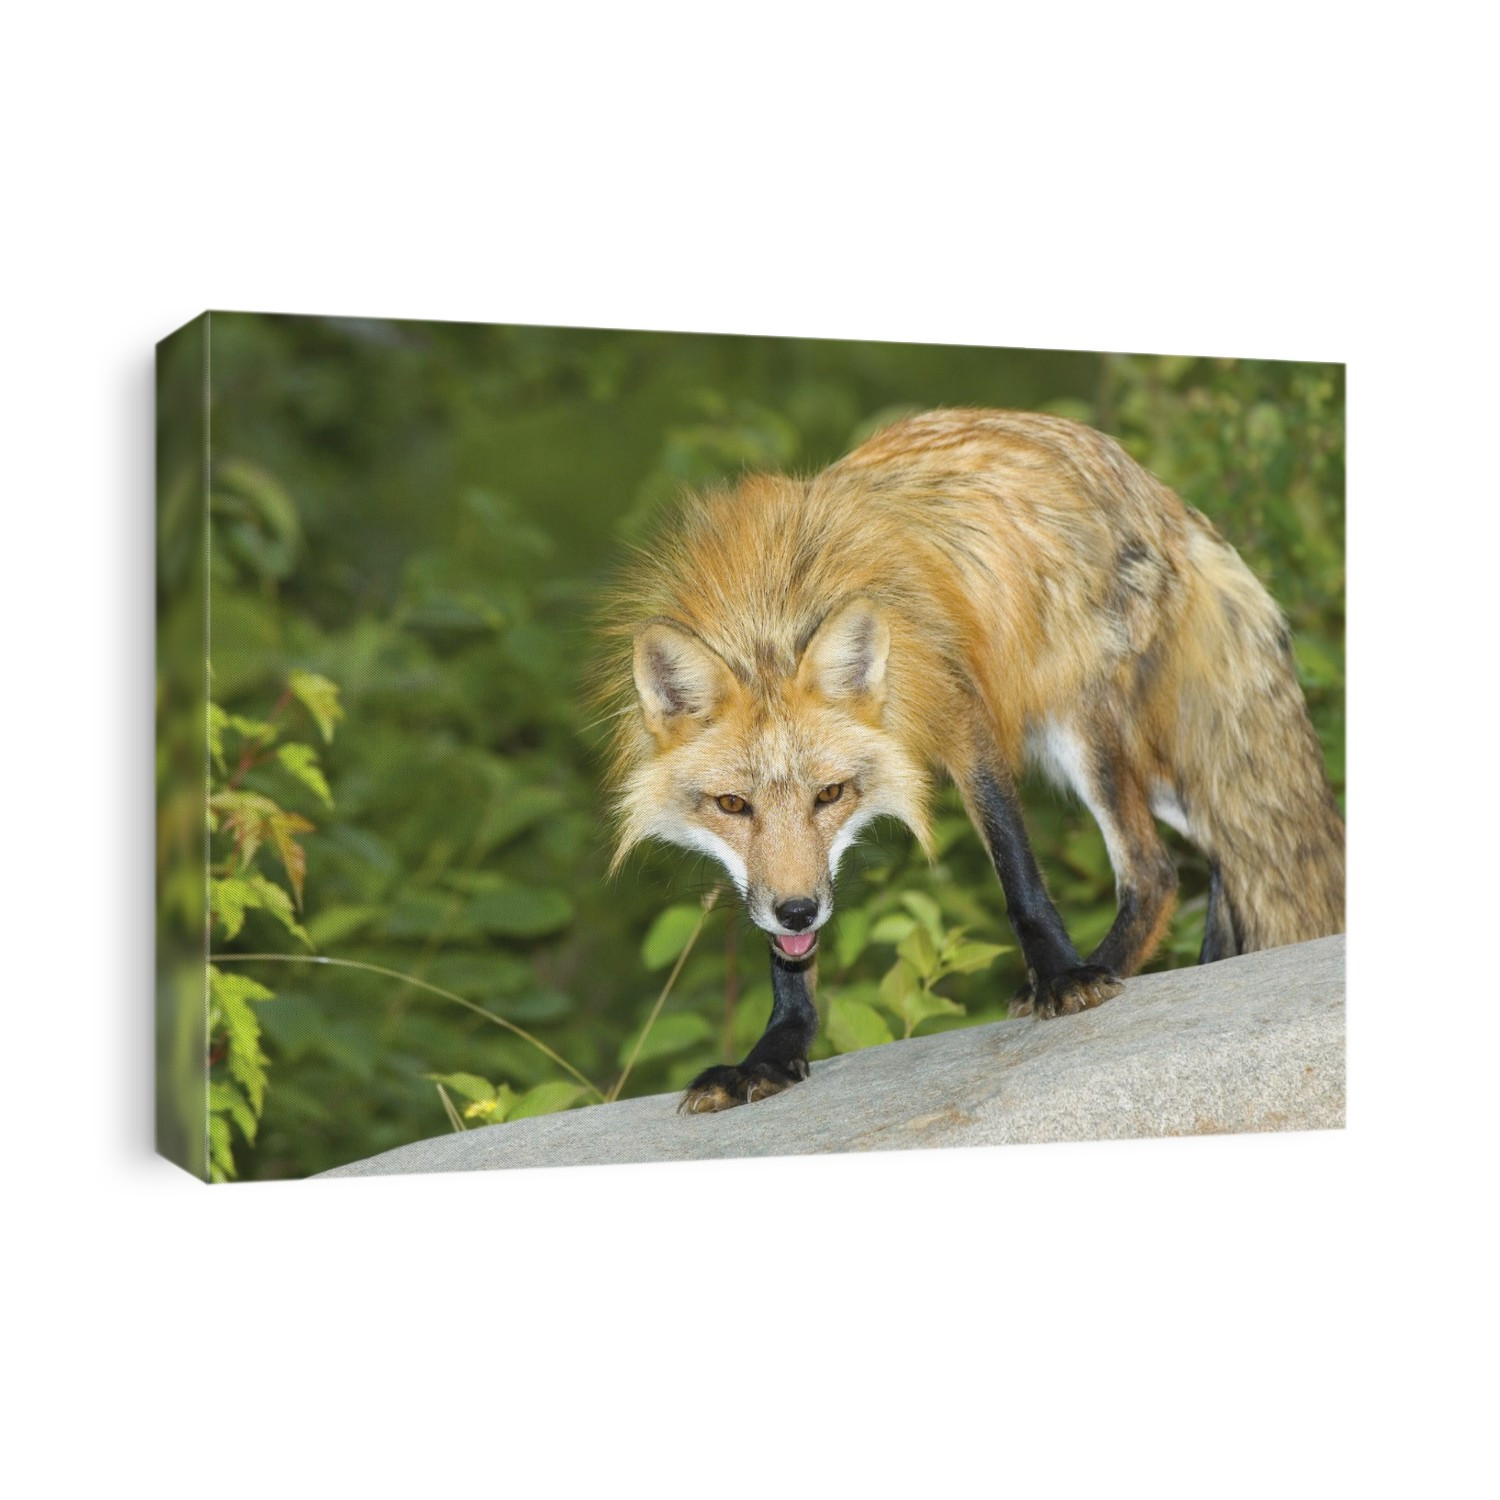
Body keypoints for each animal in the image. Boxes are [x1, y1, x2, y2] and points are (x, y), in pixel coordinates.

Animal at [598, 408, 1345, 1114]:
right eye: (732, 805)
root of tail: (1162, 498)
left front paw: (1062, 977)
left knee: (1160, 868)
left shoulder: (964, 718)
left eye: (831, 794)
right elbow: (788, 964)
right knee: (1228, 843)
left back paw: (1103, 966)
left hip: (1082, 728)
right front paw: (774, 1055)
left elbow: (1019, 874)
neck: (771, 615)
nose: (800, 912)